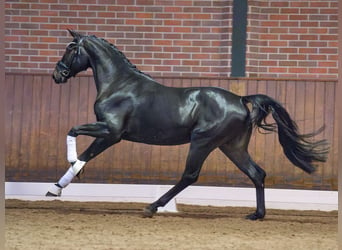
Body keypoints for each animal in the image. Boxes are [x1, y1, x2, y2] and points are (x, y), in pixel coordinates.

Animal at [48, 30, 328, 220]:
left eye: (71, 48)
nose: (57, 75)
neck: (119, 84)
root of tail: (240, 99)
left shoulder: (111, 132)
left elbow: (78, 140)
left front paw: (58, 186)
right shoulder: (108, 132)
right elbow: (78, 140)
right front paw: (62, 183)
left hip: (203, 142)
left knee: (190, 175)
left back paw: (152, 207)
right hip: (232, 146)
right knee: (257, 173)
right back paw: (257, 215)